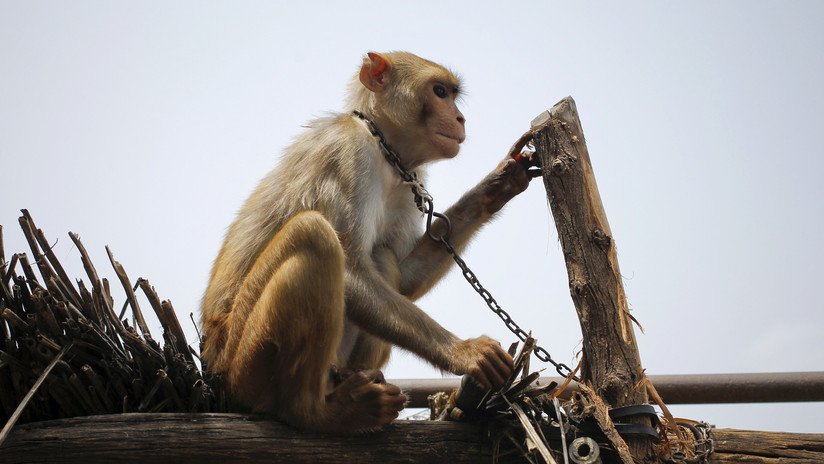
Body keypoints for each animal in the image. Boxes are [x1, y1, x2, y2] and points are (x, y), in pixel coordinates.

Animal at [200, 51, 535, 433]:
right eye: (439, 92)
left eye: (452, 95)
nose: (460, 118)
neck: (382, 145)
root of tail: (213, 366)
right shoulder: (348, 154)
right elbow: (351, 273)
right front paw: (463, 352)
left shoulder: (409, 178)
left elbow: (404, 281)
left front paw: (498, 184)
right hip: (245, 362)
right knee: (314, 234)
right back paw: (319, 412)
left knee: (382, 257)